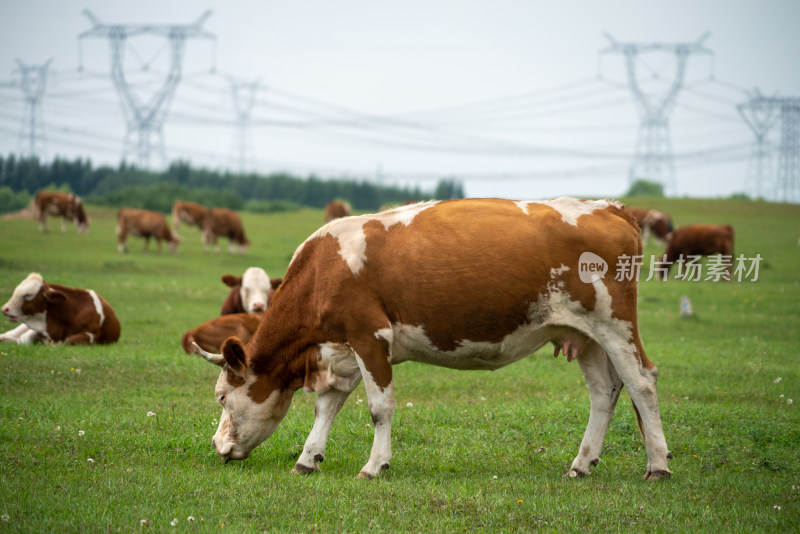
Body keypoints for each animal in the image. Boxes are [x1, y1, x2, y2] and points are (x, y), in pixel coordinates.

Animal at [195, 199, 676, 484]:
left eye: (221, 396)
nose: (217, 446)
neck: (324, 267)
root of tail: (608, 206)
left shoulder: (370, 336)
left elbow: (379, 408)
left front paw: (374, 465)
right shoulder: (342, 349)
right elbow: (327, 406)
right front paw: (308, 457)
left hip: (614, 324)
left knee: (642, 382)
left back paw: (657, 465)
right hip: (584, 335)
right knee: (604, 391)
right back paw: (582, 462)